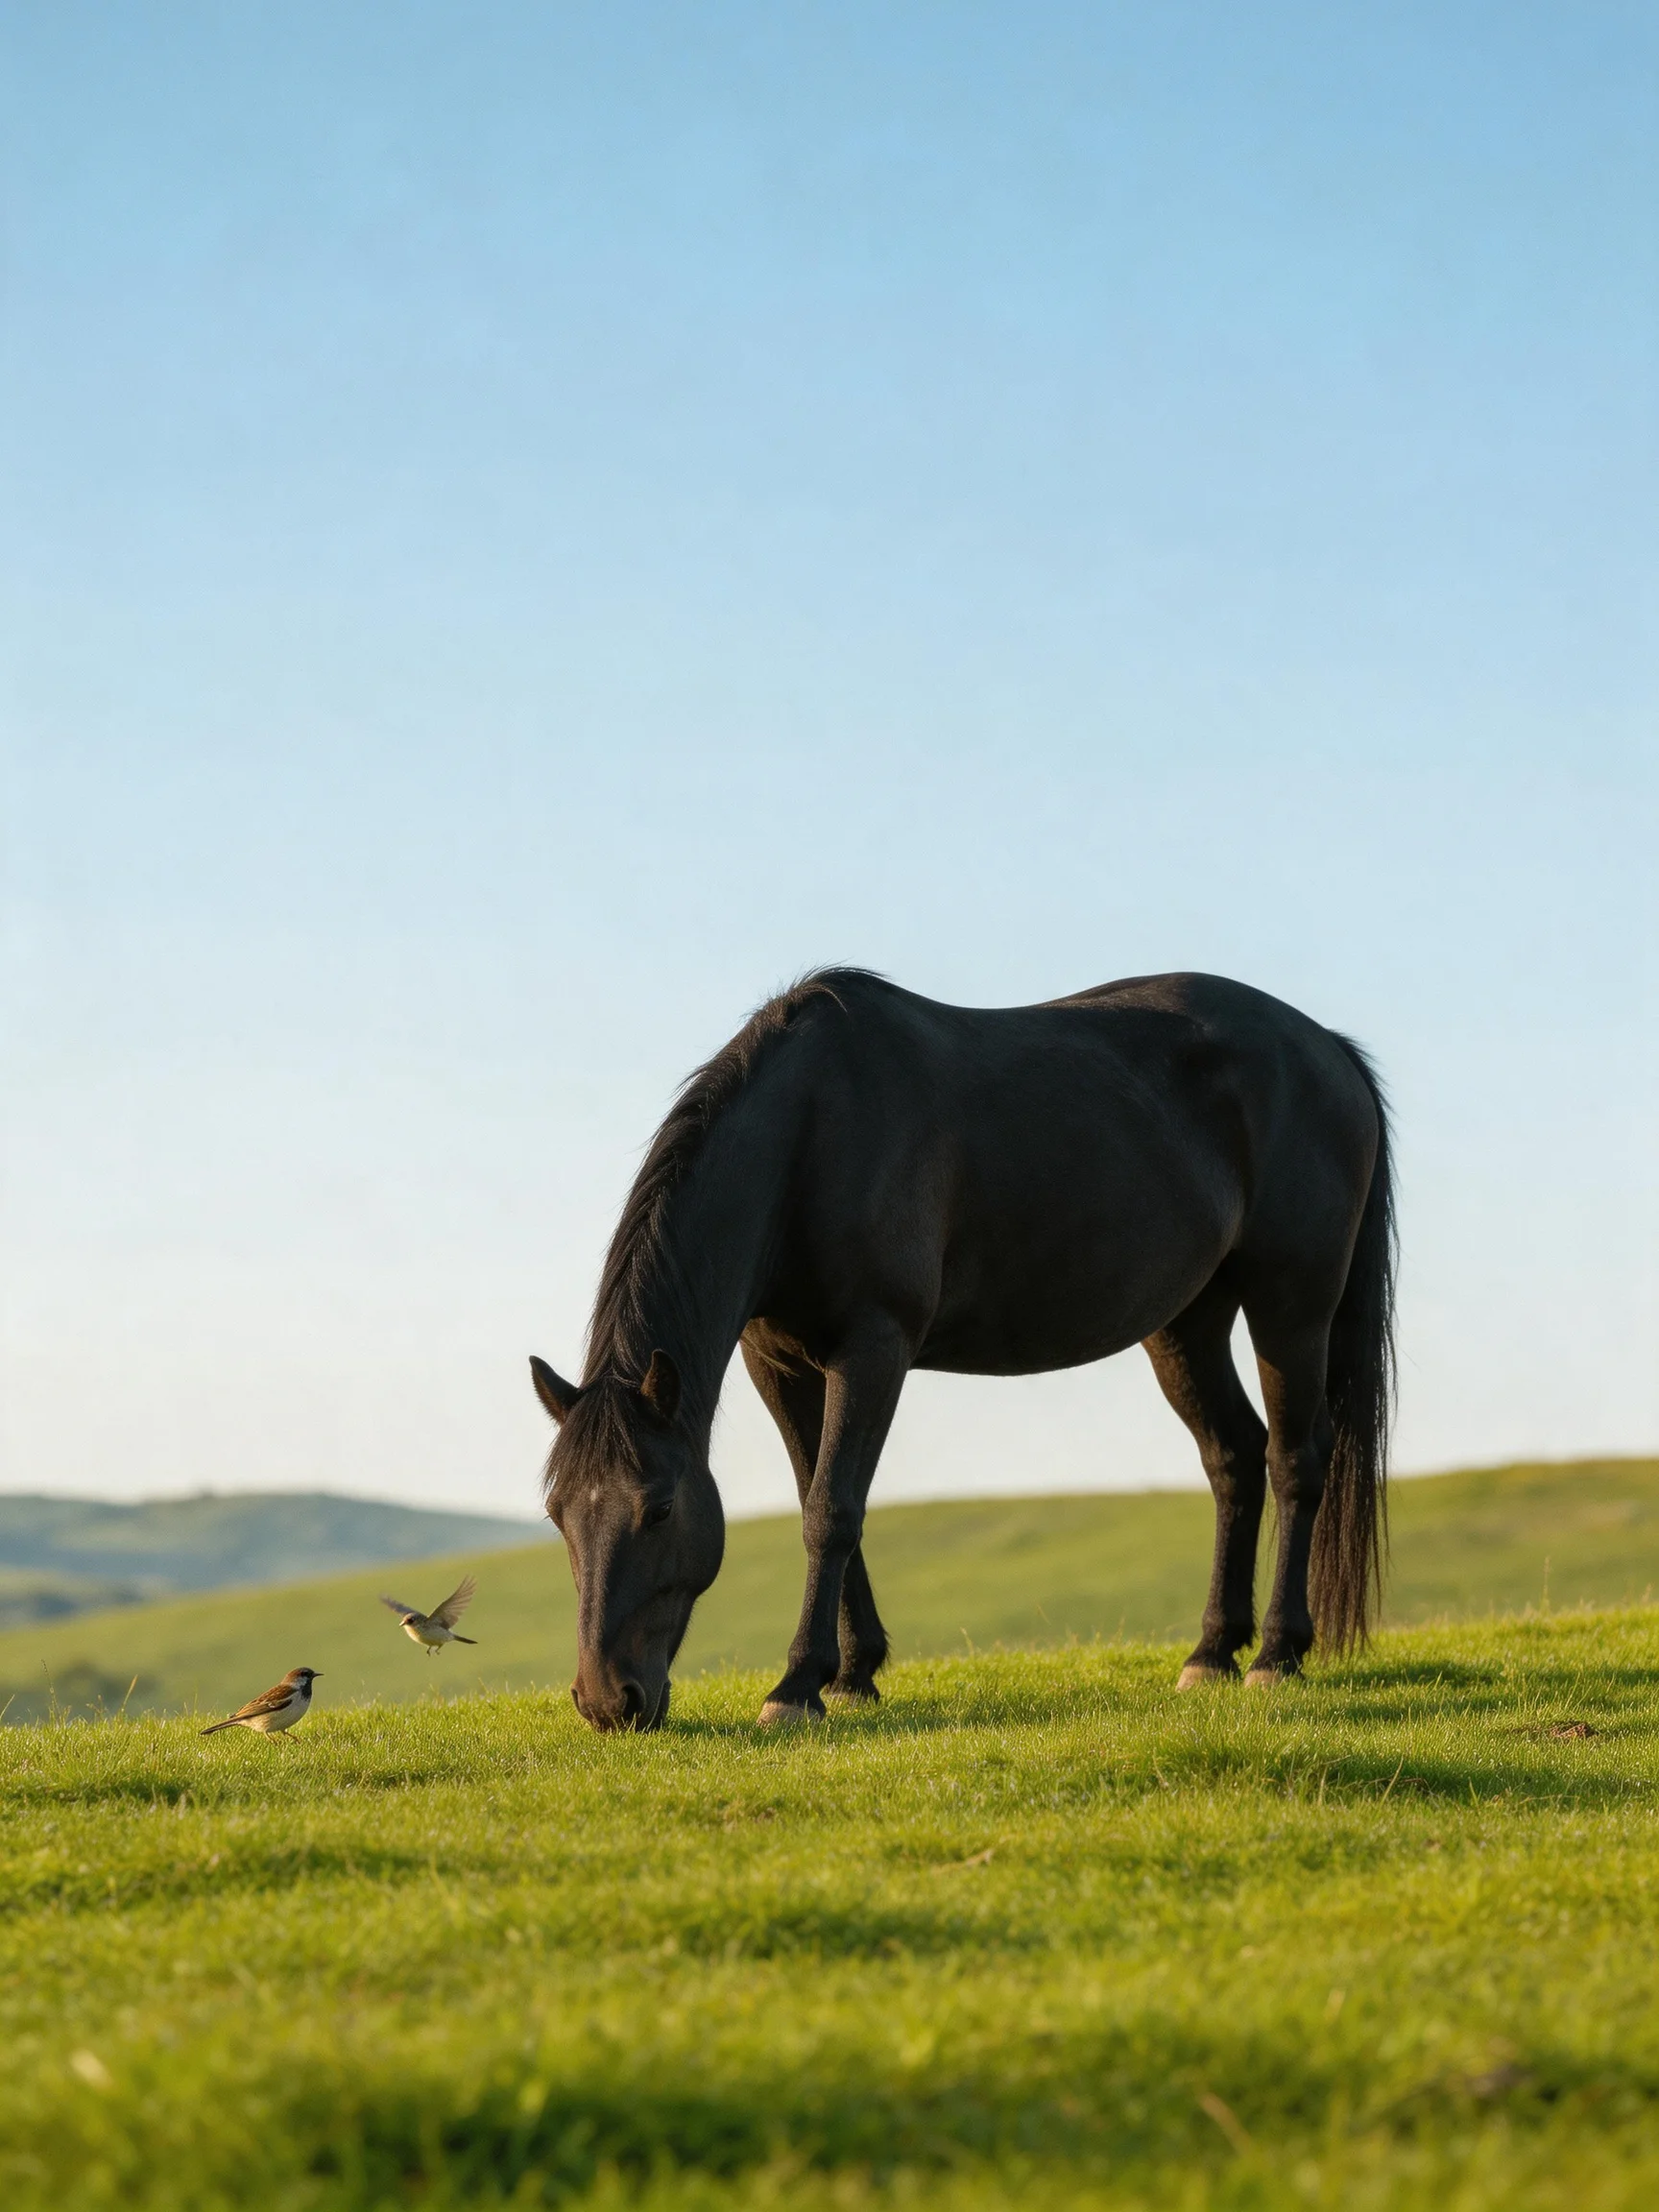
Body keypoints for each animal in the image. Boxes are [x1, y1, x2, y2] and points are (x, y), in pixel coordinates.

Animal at [531, 969, 1395, 1731]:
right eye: (558, 1513)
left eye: (659, 1508)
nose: (607, 1702)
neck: (813, 1133)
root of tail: (1327, 1047)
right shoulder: (776, 1361)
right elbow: (821, 1494)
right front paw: (852, 1674)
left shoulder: (873, 1348)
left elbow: (832, 1511)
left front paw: (797, 1687)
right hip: (1187, 1323)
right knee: (1233, 1456)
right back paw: (1212, 1652)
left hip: (1293, 1304)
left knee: (1292, 1460)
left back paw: (1276, 1655)